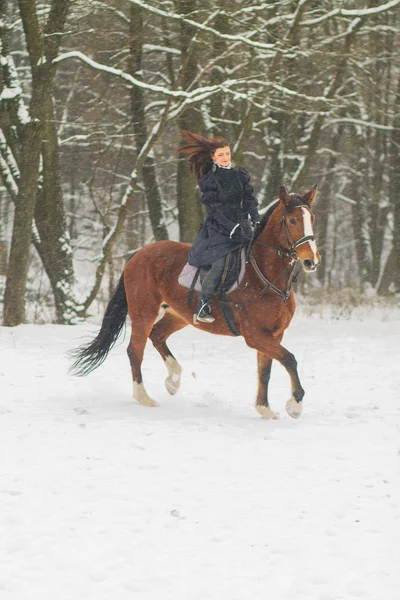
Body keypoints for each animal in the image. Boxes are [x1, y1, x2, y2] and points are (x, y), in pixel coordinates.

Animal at [70, 185, 320, 420]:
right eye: (292, 220)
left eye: (312, 219)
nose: (312, 261)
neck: (264, 275)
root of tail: (139, 254)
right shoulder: (256, 335)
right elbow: (289, 359)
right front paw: (295, 405)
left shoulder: (274, 335)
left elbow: (265, 371)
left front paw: (265, 410)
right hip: (144, 312)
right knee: (135, 350)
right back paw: (144, 397)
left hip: (178, 314)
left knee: (157, 336)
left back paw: (173, 381)